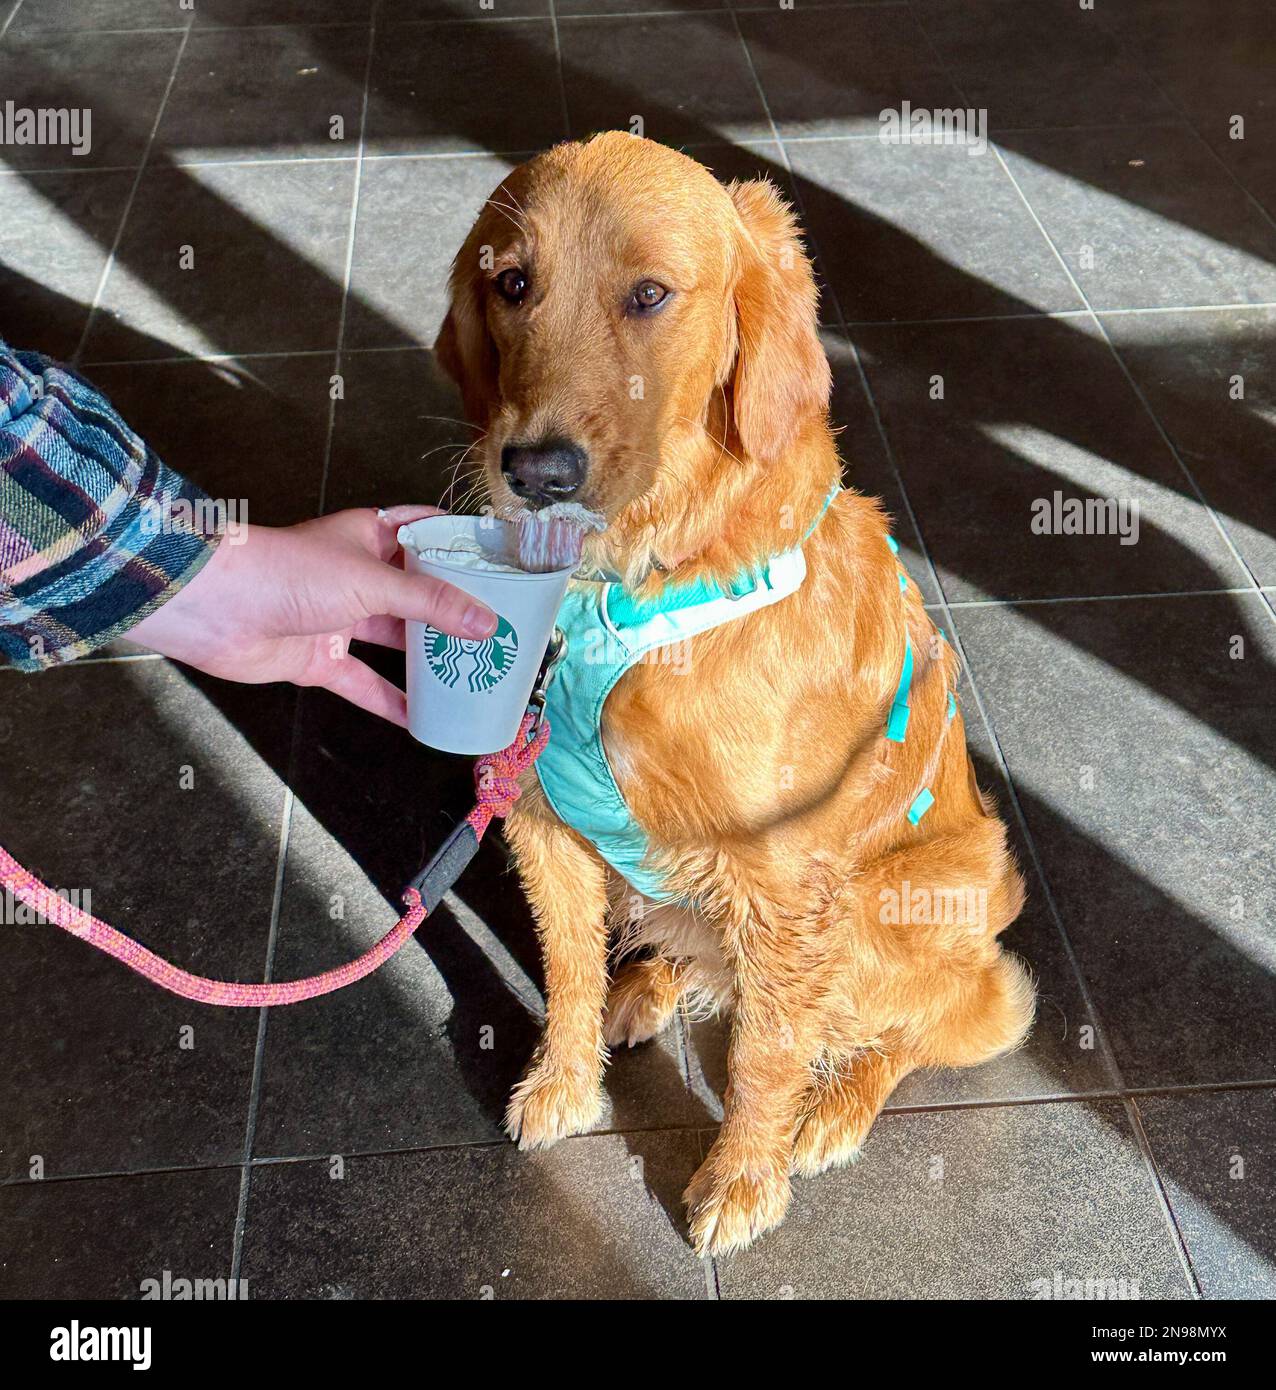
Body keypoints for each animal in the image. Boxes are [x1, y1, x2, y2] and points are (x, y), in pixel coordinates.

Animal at [439, 132, 1039, 1262]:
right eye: (512, 284)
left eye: (649, 294)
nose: (537, 471)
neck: (628, 590)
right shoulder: (538, 814)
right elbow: (567, 970)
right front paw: (565, 1080)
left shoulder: (785, 880)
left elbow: (767, 1051)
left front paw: (744, 1174)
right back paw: (648, 988)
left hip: (905, 906)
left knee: (941, 1017)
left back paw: (834, 1107)